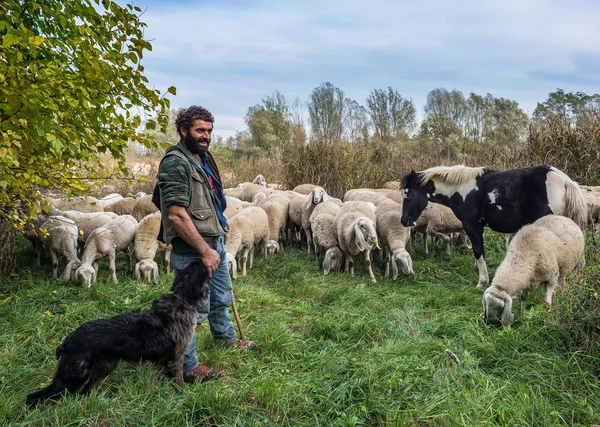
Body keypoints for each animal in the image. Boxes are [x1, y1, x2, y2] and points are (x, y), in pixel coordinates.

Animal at [27, 260, 210, 408]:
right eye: (200, 268)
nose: (203, 258)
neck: (181, 299)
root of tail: (68, 341)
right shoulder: (175, 357)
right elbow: (178, 381)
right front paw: (184, 396)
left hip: (102, 368)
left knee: (86, 391)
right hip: (72, 377)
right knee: (36, 396)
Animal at [400, 166, 588, 290]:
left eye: (408, 194)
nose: (403, 221)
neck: (461, 189)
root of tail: (565, 181)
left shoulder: (472, 226)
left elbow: (478, 251)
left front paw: (482, 281)